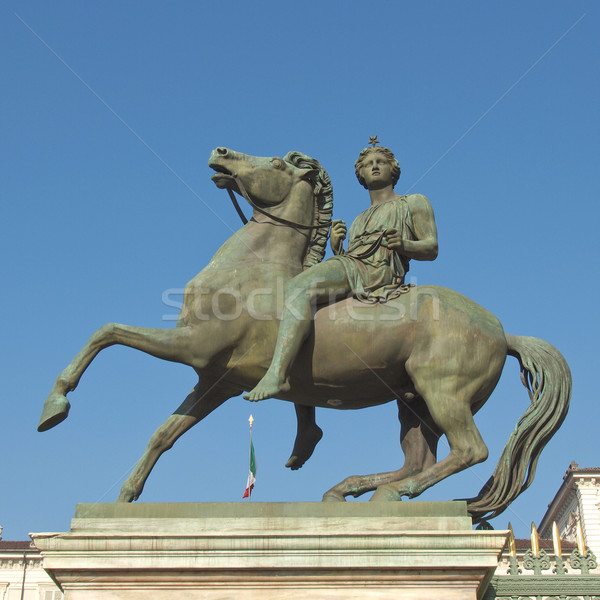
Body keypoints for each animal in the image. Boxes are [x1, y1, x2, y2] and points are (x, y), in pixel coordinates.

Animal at [38, 148, 572, 524]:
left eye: (275, 161)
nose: (220, 151)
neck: (251, 269)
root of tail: (501, 330)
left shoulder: (194, 348)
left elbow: (107, 331)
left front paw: (55, 406)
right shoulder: (216, 381)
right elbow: (163, 434)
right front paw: (125, 496)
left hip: (442, 390)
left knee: (468, 450)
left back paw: (385, 493)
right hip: (412, 401)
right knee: (419, 457)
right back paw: (350, 489)